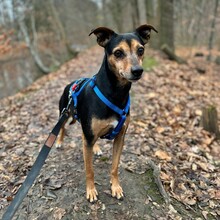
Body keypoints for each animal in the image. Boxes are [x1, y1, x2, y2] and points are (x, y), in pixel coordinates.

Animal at [55, 24, 157, 203]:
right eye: (118, 53)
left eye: (141, 50)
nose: (138, 71)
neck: (115, 93)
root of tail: (71, 85)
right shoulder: (88, 136)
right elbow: (89, 170)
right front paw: (91, 191)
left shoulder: (119, 137)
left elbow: (114, 166)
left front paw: (115, 187)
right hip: (64, 113)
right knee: (63, 128)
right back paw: (60, 141)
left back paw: (95, 148)